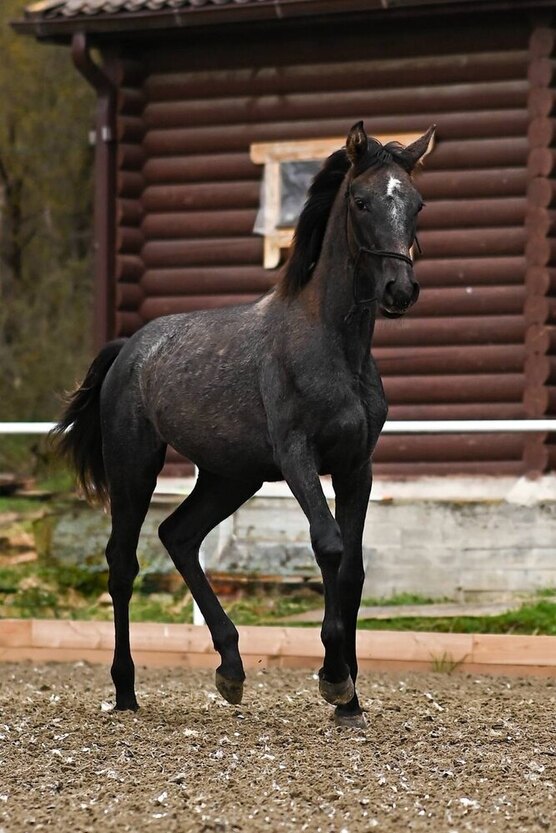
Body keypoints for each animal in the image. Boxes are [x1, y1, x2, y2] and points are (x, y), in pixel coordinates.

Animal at [53, 121, 435, 729]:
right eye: (361, 200)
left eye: (417, 202)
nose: (400, 291)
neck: (333, 346)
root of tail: (130, 348)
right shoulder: (299, 458)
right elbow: (328, 546)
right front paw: (333, 678)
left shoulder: (357, 467)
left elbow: (352, 569)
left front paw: (350, 701)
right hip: (135, 468)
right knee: (123, 563)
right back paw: (126, 691)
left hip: (230, 477)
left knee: (179, 536)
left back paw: (230, 669)